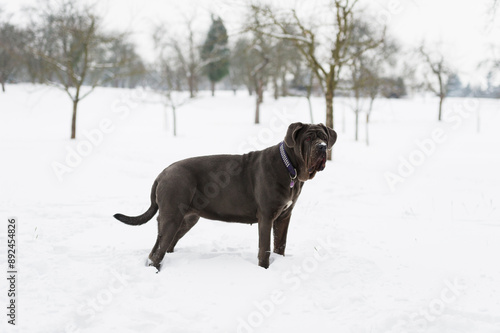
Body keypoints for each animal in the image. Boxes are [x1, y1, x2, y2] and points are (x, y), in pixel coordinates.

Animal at [115, 122, 338, 270]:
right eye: (308, 138)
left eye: (324, 137)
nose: (322, 147)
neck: (290, 167)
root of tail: (163, 173)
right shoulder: (266, 217)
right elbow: (264, 248)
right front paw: (264, 270)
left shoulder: (284, 216)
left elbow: (279, 244)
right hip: (171, 216)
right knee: (156, 251)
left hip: (187, 219)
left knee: (167, 246)